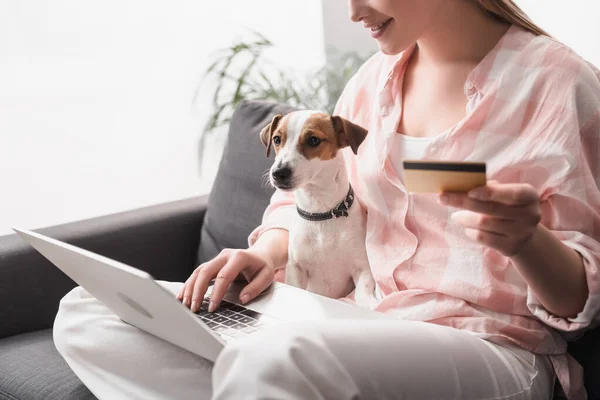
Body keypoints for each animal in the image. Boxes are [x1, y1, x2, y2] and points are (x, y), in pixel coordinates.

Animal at [258, 109, 380, 310]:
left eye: (313, 140)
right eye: (276, 139)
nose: (278, 173)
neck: (321, 213)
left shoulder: (361, 268)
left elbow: (363, 293)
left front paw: (370, 304)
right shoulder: (296, 269)